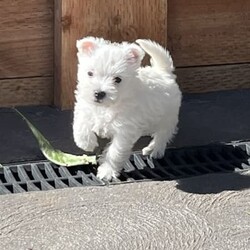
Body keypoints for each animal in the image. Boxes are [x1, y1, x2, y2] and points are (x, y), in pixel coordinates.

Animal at [72, 36, 182, 181]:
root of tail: (164, 73)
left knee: (163, 134)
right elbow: (81, 125)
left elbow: (114, 152)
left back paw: (156, 150)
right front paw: (86, 143)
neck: (107, 106)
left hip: (167, 117)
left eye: (117, 79)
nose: (99, 93)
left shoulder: (124, 132)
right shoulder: (84, 108)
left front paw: (107, 171)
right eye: (90, 73)